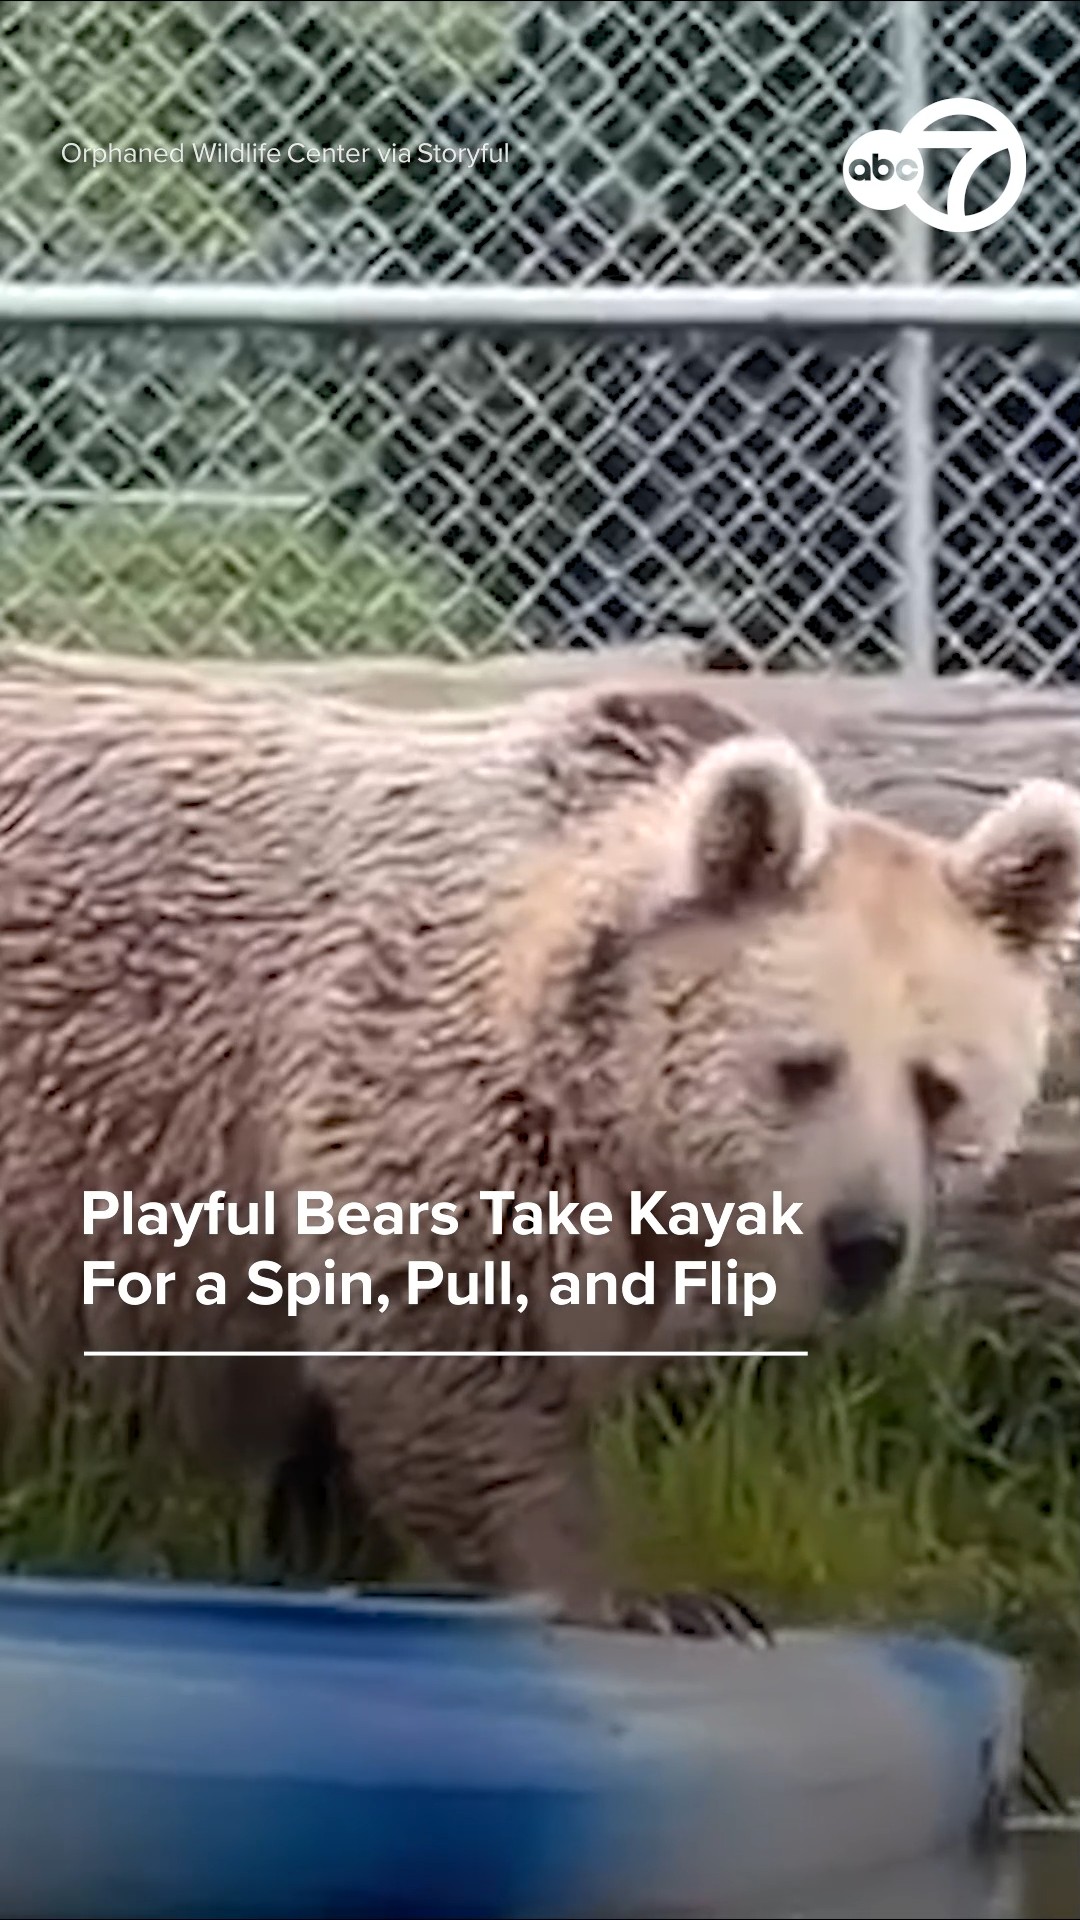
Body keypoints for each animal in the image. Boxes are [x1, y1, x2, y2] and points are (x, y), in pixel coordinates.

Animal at [0, 671, 1075, 1636]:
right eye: (803, 1067)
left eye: (940, 1088)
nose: (865, 1243)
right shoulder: (416, 1106)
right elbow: (455, 1369)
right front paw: (646, 1595)